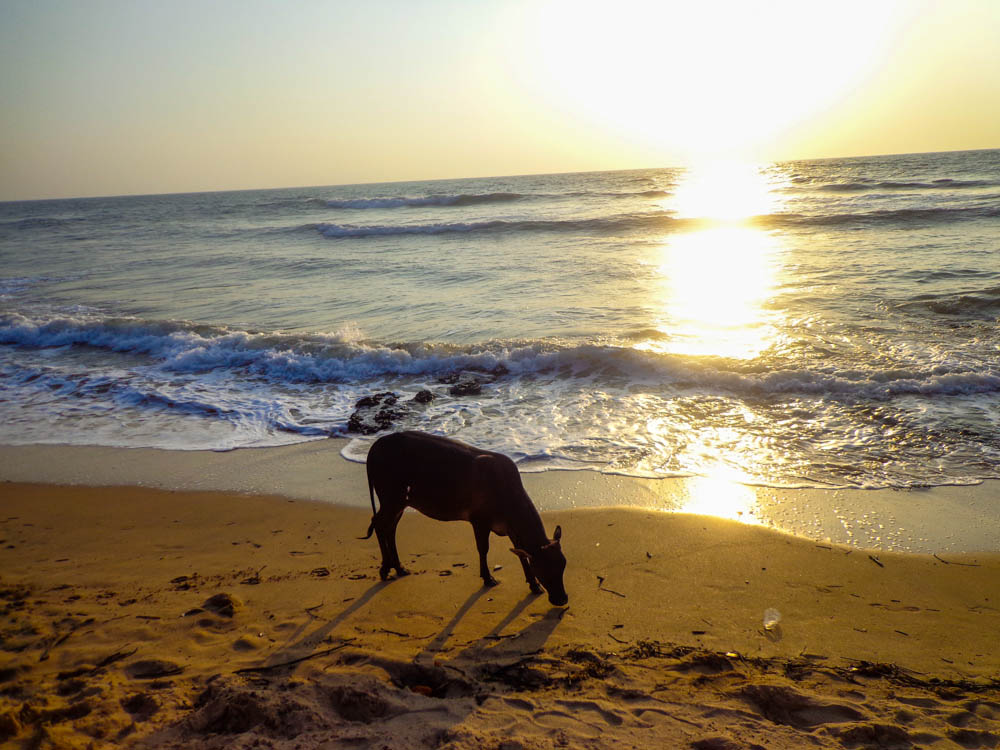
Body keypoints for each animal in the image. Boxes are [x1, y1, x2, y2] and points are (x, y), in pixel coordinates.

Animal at [361, 430, 568, 606]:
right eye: (543, 569)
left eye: (563, 564)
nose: (561, 599)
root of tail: (375, 446)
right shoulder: (479, 521)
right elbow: (483, 549)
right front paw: (488, 578)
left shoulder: (511, 529)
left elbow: (521, 555)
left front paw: (534, 585)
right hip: (391, 498)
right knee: (378, 524)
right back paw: (385, 568)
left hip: (399, 502)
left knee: (390, 528)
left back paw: (399, 567)